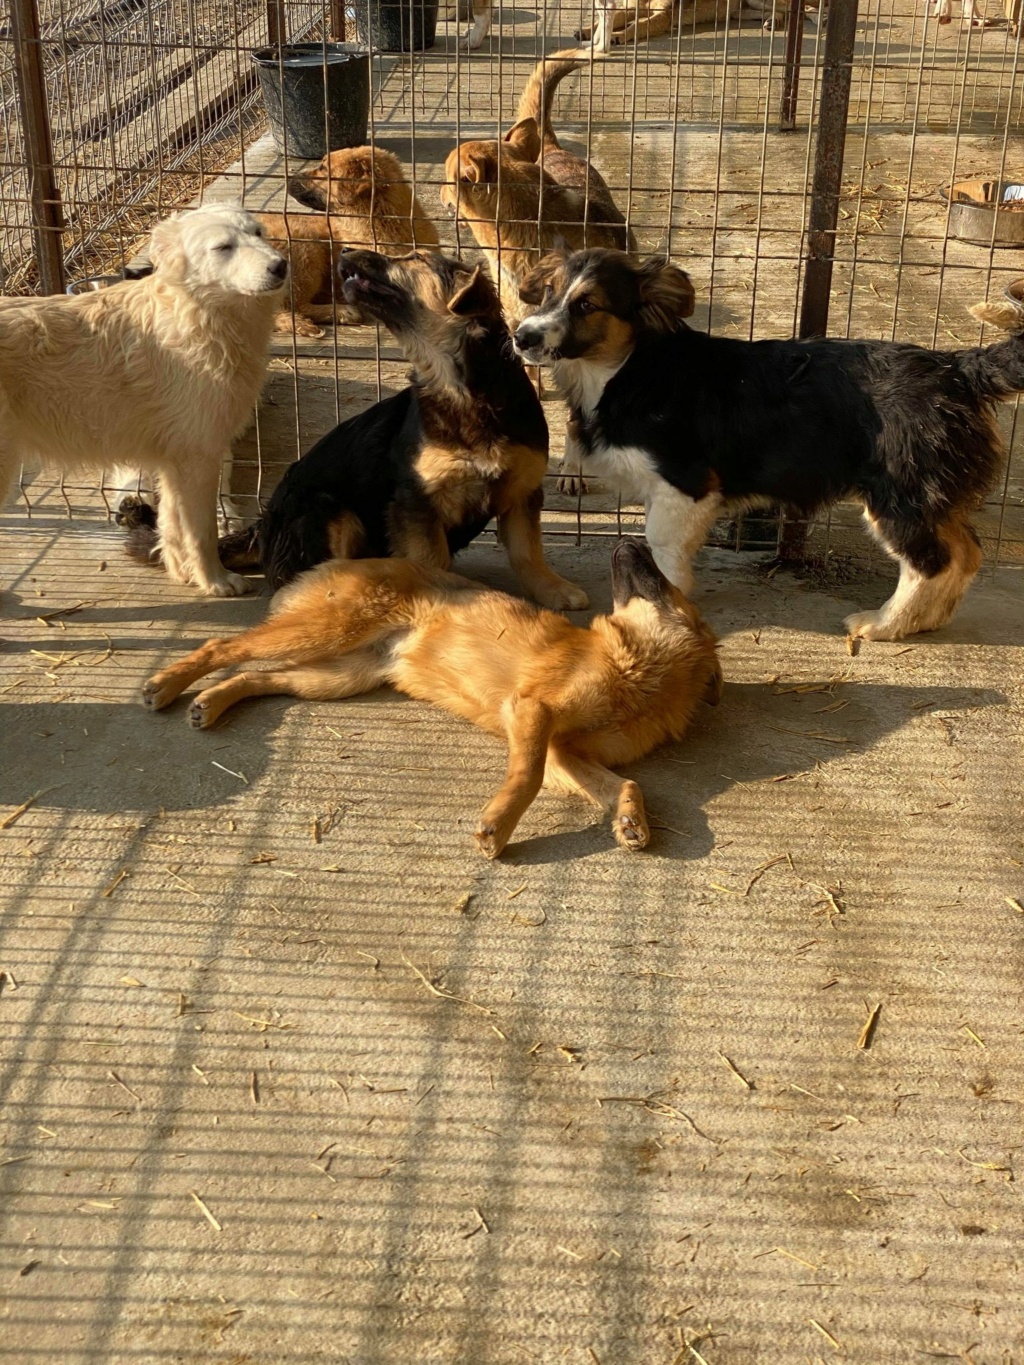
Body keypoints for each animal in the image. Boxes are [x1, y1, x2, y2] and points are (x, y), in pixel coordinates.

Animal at [1, 200, 289, 592]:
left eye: (258, 233)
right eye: (223, 247)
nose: (280, 265)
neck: (194, 315)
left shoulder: (175, 462)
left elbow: (172, 528)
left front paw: (183, 574)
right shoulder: (198, 457)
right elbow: (201, 533)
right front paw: (215, 581)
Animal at [142, 540, 720, 851]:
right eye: (667, 581)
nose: (633, 541)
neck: (637, 672)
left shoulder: (560, 750)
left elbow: (624, 783)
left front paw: (629, 819)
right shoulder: (533, 713)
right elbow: (527, 777)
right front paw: (498, 828)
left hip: (341, 675)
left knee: (262, 675)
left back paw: (211, 702)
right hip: (328, 634)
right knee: (223, 645)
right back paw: (166, 685)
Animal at [217, 247, 589, 608]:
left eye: (415, 258)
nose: (345, 252)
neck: (461, 390)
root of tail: (263, 526)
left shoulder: (523, 489)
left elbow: (528, 552)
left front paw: (554, 589)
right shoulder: (416, 501)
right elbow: (431, 559)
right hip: (326, 508)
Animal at [516, 248, 1021, 641]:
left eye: (587, 305)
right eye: (549, 292)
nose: (521, 336)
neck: (629, 369)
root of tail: (957, 368)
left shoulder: (685, 485)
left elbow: (659, 550)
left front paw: (658, 608)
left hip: (900, 498)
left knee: (932, 563)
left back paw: (884, 625)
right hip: (929, 496)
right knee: (966, 554)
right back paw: (927, 621)